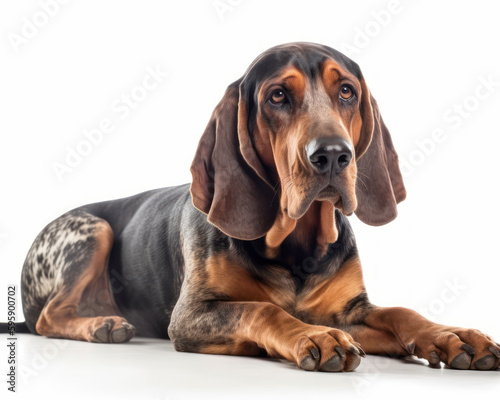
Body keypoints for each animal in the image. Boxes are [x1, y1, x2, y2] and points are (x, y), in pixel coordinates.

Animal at [17, 43, 498, 372]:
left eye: (346, 91)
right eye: (277, 96)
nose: (333, 155)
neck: (297, 245)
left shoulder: (351, 311)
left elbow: (402, 312)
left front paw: (453, 336)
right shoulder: (191, 315)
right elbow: (262, 309)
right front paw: (314, 337)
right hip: (92, 229)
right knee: (48, 317)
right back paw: (102, 325)